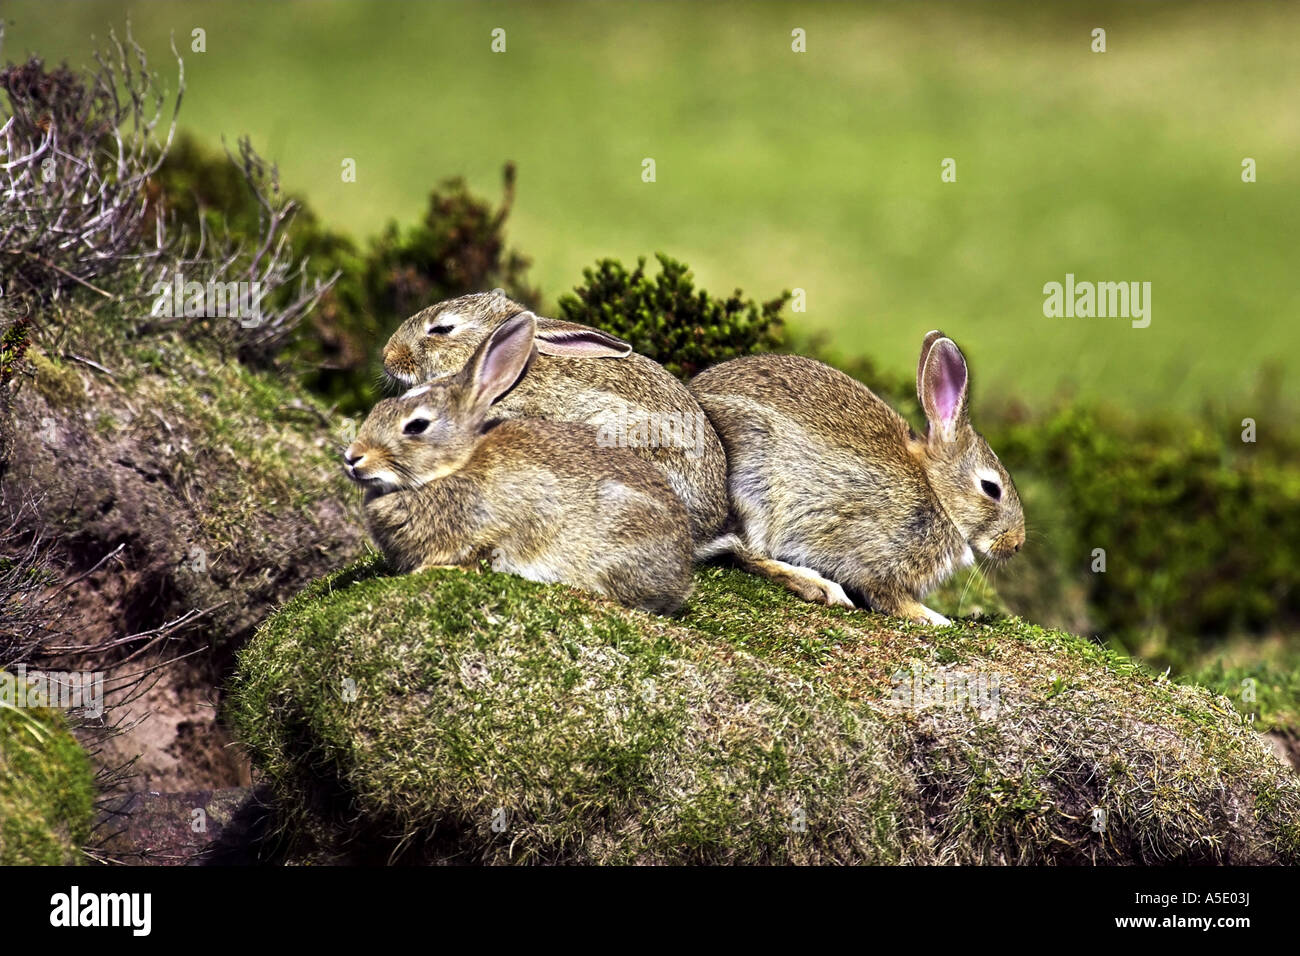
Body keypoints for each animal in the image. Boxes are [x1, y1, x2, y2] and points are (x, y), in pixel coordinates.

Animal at [688, 330, 1025, 625]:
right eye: (991, 488)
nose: (1017, 544)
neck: (936, 492)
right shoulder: (876, 558)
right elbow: (887, 597)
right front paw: (932, 617)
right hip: (756, 486)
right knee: (745, 553)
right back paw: (822, 587)